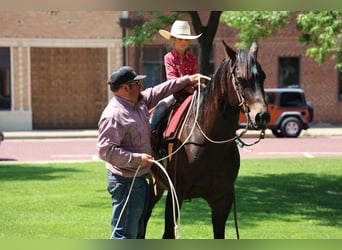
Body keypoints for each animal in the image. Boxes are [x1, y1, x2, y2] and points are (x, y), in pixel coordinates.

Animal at [146, 40, 272, 238]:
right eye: (240, 78)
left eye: (263, 77)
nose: (262, 116)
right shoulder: (175, 195)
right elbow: (168, 233)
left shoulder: (222, 200)